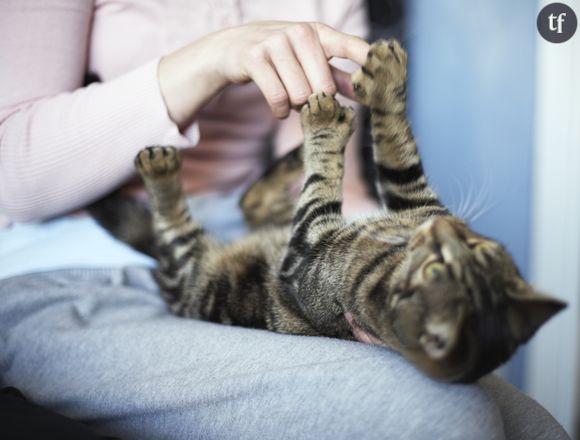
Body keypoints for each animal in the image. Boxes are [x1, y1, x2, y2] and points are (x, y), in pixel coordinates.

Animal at [92, 39, 568, 384]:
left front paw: (330, 120)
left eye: (438, 269)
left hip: (188, 268)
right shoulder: (413, 198)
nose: (442, 226)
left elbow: (328, 172)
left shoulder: (306, 245)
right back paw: (288, 160)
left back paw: (162, 170)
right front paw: (384, 81)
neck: (390, 253)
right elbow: (396, 143)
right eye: (478, 245)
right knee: (252, 202)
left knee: (174, 223)